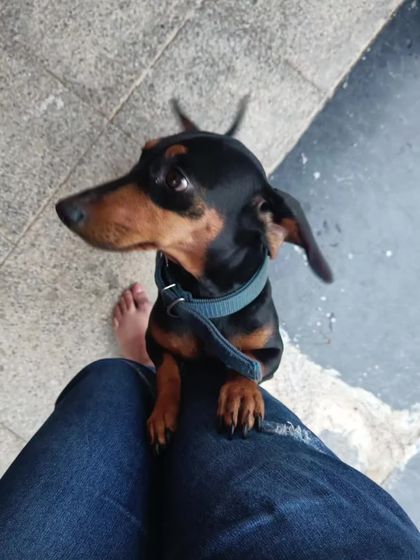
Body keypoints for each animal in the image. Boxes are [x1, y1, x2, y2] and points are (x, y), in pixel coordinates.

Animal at [56, 99, 332, 454]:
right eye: (143, 153)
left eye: (175, 179)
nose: (64, 208)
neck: (207, 304)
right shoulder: (155, 341)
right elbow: (168, 371)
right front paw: (163, 415)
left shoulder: (274, 352)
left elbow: (250, 366)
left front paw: (241, 396)